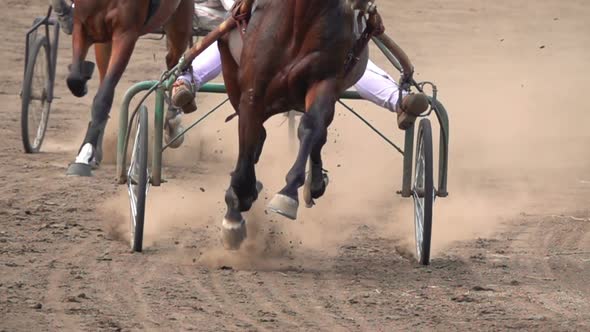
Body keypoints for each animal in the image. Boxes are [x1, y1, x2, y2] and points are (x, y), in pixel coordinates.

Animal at [65, 0, 194, 176]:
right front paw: (89, 153)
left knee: (175, 61)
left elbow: (103, 96)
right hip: (104, 41)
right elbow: (75, 81)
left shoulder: (125, 35)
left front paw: (85, 154)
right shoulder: (82, 26)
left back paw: (173, 118)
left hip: (179, 22)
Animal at [213, 0, 394, 249]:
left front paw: (288, 193)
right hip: (231, 73)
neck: (301, 18)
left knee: (318, 134)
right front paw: (234, 212)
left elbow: (311, 126)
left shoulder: (326, 80)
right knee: (257, 133)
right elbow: (248, 139)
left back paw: (314, 182)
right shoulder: (252, 92)